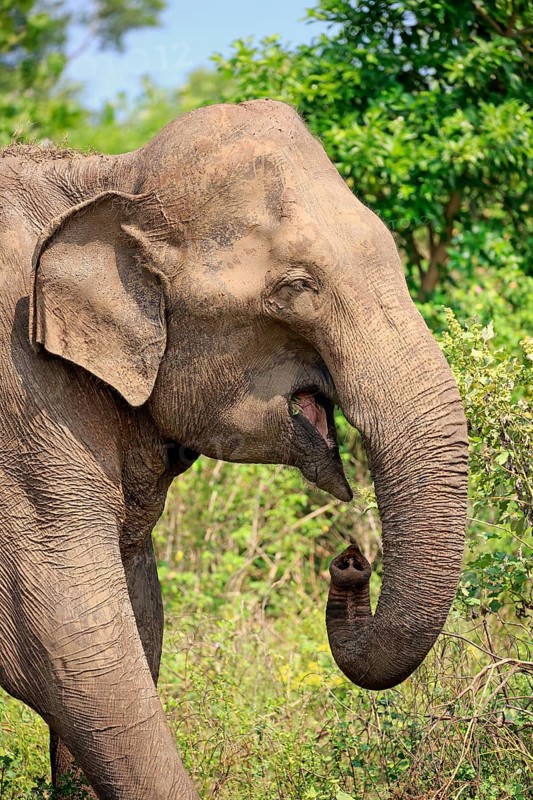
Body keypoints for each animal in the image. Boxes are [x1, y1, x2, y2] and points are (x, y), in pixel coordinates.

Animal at [0, 99, 468, 799]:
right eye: (297, 285)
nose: (351, 561)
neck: (108, 177)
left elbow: (137, 616)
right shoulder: (22, 405)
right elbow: (71, 641)